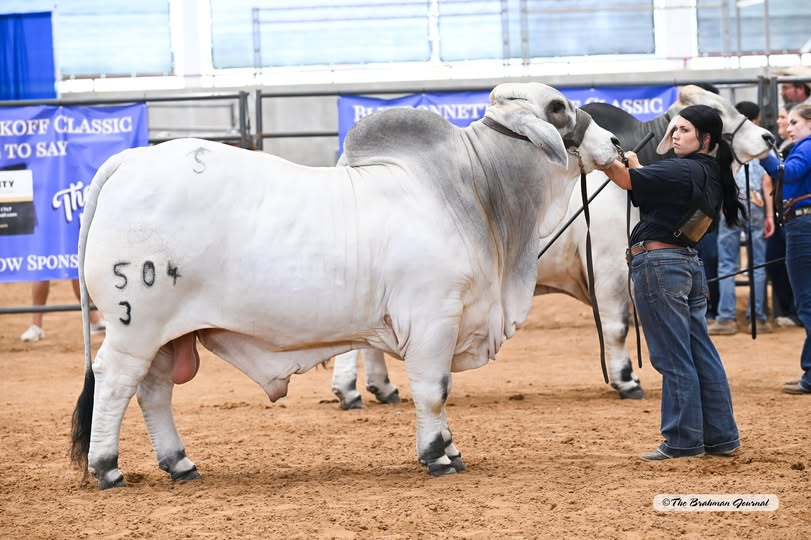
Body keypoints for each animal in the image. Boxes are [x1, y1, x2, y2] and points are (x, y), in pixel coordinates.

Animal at [70, 82, 621, 489]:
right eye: (558, 106)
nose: (616, 145)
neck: (477, 192)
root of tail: (129, 162)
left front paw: (450, 448)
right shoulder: (434, 317)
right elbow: (434, 390)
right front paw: (437, 455)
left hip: (168, 335)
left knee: (154, 391)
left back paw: (180, 463)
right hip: (135, 325)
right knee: (116, 382)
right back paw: (108, 467)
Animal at [330, 84, 776, 409]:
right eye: (716, 110)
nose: (769, 136)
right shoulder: (609, 270)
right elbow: (617, 327)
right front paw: (626, 380)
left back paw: (383, 389)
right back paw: (350, 392)